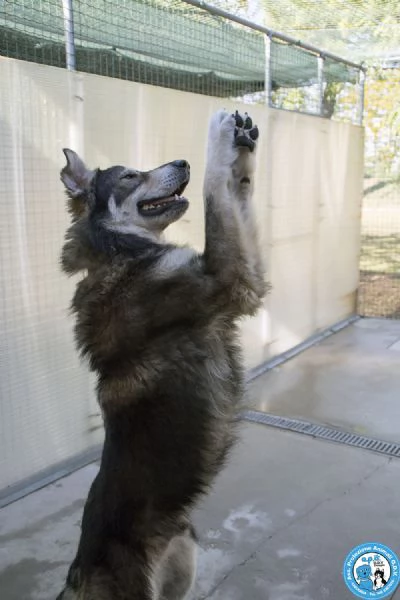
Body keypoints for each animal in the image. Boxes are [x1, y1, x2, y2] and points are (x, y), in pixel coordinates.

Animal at [56, 110, 268, 596]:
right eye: (130, 176)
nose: (182, 162)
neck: (120, 256)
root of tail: (77, 573)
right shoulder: (228, 277)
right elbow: (214, 188)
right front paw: (220, 132)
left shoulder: (241, 273)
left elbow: (237, 190)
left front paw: (243, 148)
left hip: (183, 565)